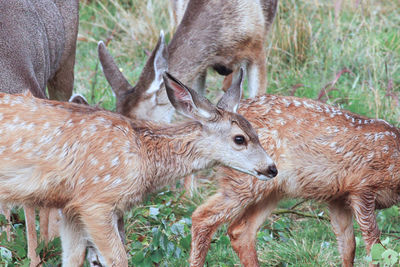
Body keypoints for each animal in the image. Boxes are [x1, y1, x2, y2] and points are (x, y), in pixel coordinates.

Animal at [188, 93, 400, 266]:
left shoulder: (338, 197)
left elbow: (348, 246)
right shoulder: (363, 186)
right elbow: (375, 244)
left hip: (272, 190)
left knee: (241, 232)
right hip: (245, 180)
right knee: (201, 217)